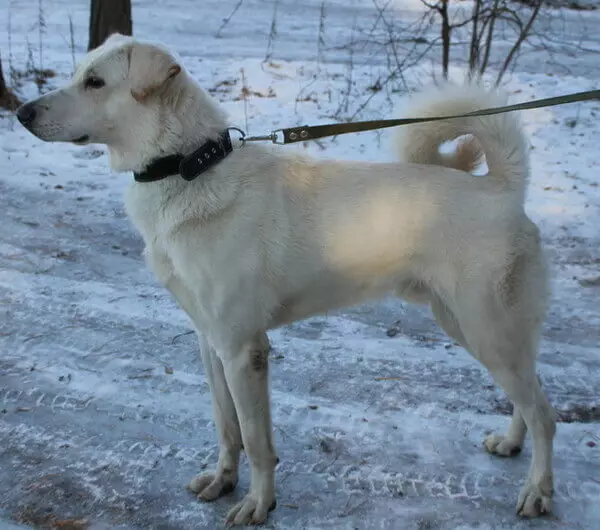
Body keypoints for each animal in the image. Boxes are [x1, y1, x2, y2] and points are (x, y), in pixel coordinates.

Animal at [17, 34, 556, 524]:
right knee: (528, 397)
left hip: (487, 331)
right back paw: (511, 444)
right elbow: (227, 428)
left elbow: (256, 441)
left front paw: (258, 503)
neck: (189, 169)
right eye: (77, 73)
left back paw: (538, 492)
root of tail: (502, 188)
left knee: (544, 414)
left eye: (95, 82)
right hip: (475, 329)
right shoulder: (210, 342)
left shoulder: (243, 350)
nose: (21, 113)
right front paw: (223, 482)